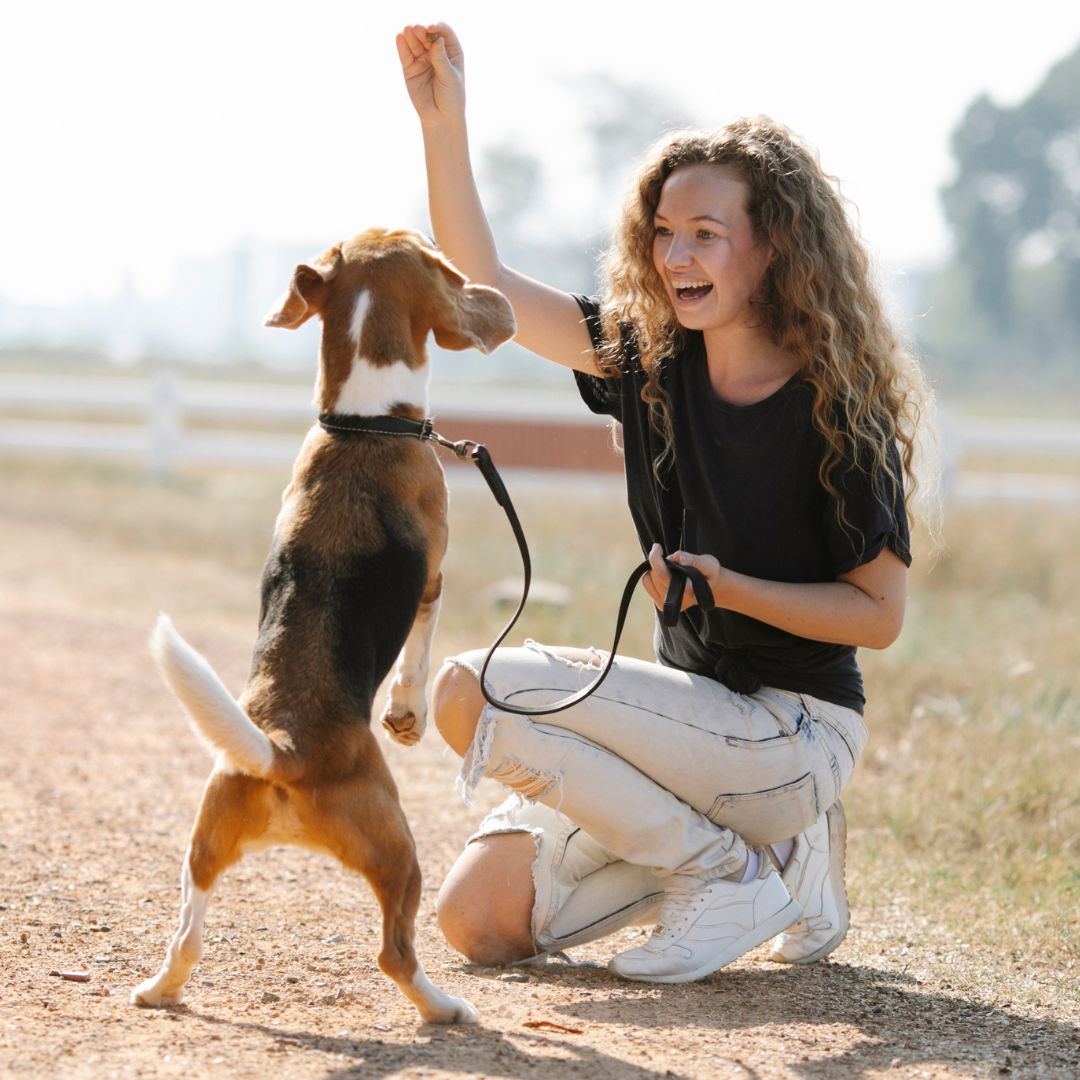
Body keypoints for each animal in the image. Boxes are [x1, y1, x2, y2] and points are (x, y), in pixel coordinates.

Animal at [128, 227, 516, 1019]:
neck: (363, 424)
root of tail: (283, 749)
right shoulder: (433, 580)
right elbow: (418, 658)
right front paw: (406, 716)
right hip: (399, 850)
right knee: (394, 953)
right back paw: (444, 1008)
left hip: (202, 844)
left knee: (187, 937)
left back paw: (158, 989)